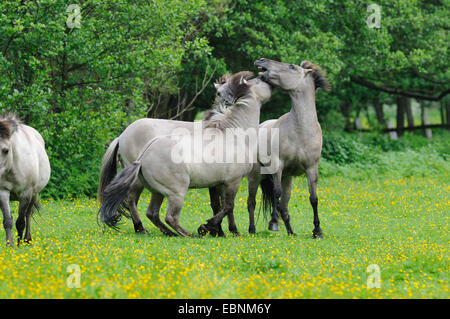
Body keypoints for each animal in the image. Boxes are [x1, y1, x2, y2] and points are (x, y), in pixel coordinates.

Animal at [0, 115, 50, 248]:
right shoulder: (3, 192)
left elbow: (20, 222)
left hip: (34, 195)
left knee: (28, 215)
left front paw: (19, 245)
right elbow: (7, 221)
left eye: (5, 150)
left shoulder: (26, 194)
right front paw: (10, 245)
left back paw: (27, 239)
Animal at [99, 74, 272, 236]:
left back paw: (166, 232)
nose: (267, 77)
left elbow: (220, 206)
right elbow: (228, 206)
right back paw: (157, 230)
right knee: (152, 208)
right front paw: (210, 227)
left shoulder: (218, 182)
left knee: (151, 212)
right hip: (174, 191)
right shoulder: (232, 181)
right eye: (258, 81)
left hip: (156, 190)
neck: (234, 134)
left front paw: (223, 231)